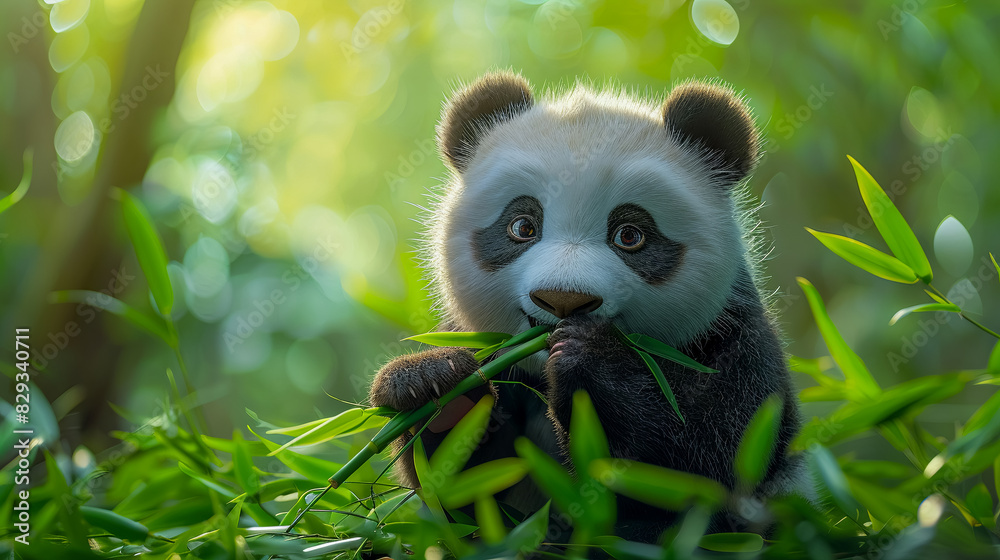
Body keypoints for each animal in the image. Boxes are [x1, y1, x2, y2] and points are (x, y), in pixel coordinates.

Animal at [369, 71, 806, 541]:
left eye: (630, 235)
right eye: (522, 226)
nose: (564, 300)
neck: (541, 372)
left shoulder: (729, 336)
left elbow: (706, 466)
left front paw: (587, 356)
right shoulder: (487, 350)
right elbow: (464, 496)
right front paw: (436, 387)